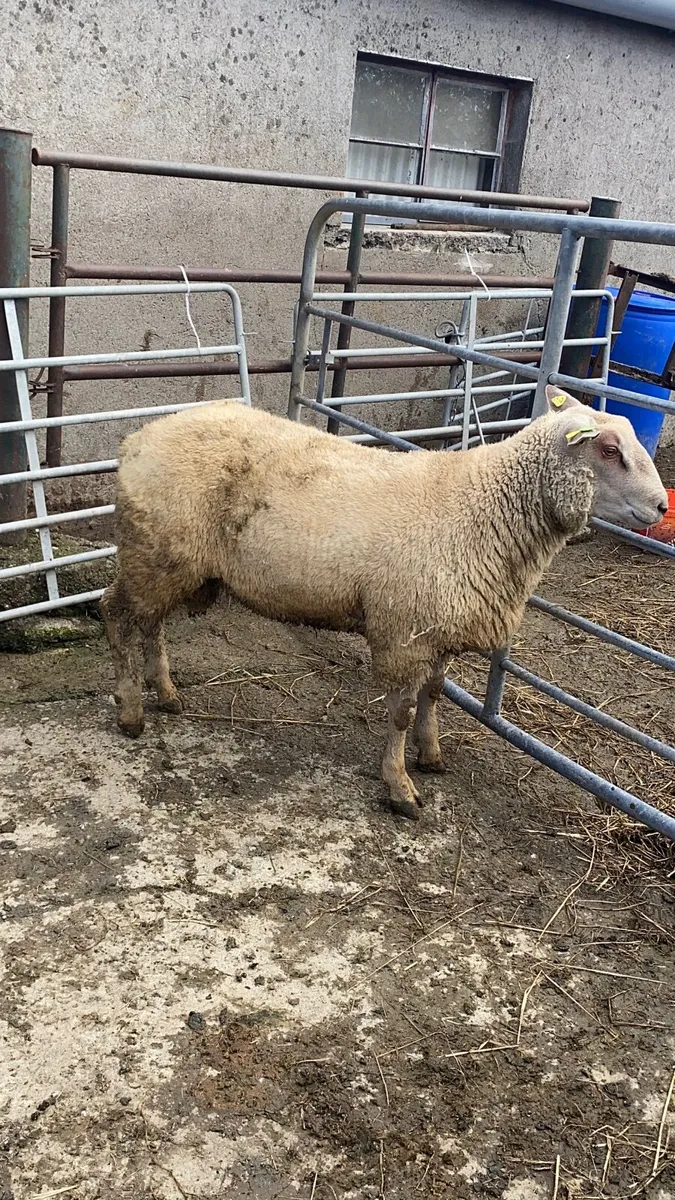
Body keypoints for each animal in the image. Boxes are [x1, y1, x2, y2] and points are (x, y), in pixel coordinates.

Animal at [100, 385, 667, 820]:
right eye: (609, 450)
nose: (661, 506)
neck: (484, 506)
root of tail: (138, 439)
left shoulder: (438, 629)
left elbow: (434, 694)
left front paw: (431, 753)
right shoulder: (404, 631)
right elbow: (399, 713)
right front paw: (400, 788)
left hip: (171, 561)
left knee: (150, 622)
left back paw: (166, 692)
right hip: (155, 549)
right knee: (117, 613)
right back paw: (131, 709)